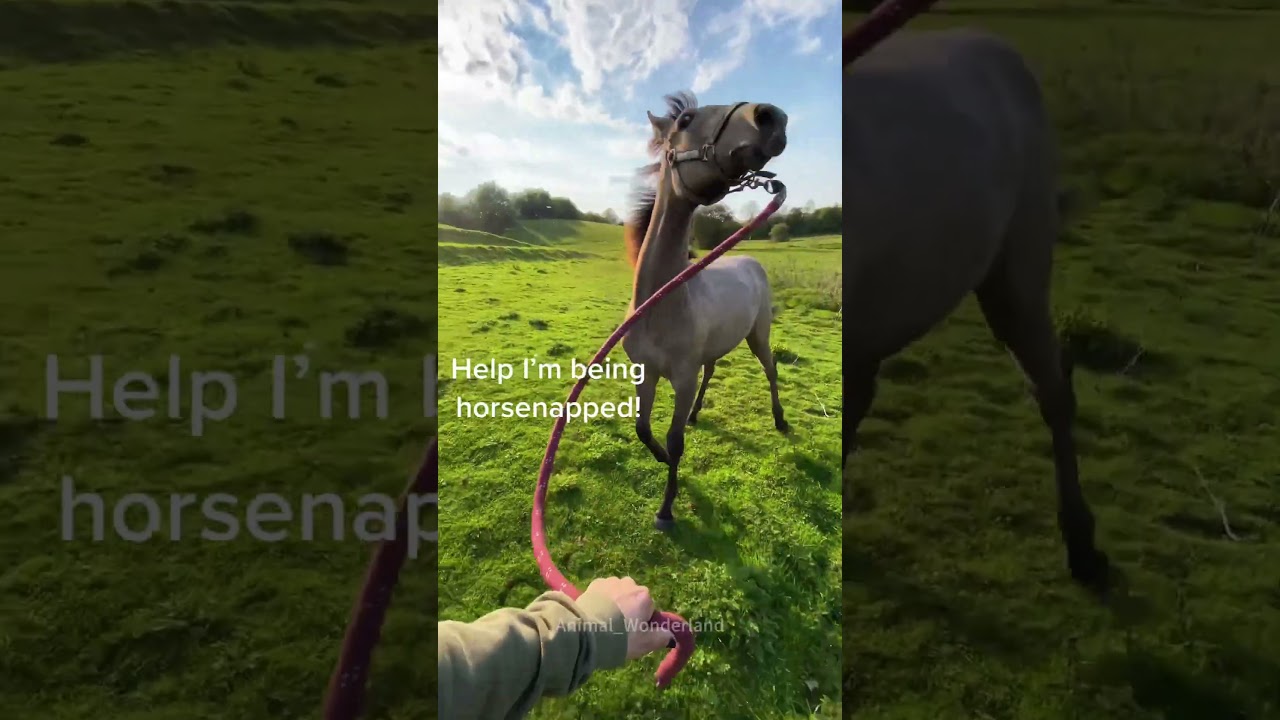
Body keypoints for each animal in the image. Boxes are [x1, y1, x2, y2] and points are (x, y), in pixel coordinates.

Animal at [620, 91, 790, 531]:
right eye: (684, 120)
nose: (771, 117)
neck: (659, 307)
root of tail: (751, 262)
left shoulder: (681, 378)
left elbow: (676, 440)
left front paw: (666, 509)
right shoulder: (645, 372)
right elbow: (642, 427)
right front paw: (660, 456)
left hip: (758, 336)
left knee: (771, 370)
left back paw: (780, 419)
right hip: (715, 349)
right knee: (711, 371)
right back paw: (698, 414)